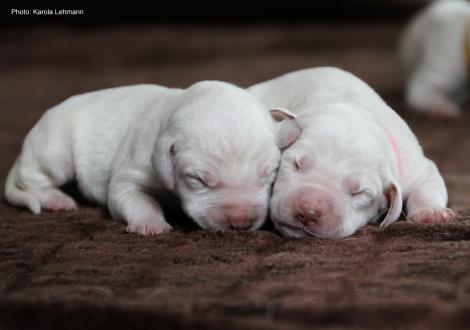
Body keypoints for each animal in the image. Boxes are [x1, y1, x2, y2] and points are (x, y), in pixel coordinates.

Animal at [4, 80, 298, 235]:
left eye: (271, 175)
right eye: (197, 180)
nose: (240, 223)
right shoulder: (133, 170)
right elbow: (130, 195)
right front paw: (150, 224)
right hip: (55, 150)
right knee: (34, 178)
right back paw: (55, 199)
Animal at [250, 67, 456, 237]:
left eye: (359, 193)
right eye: (296, 164)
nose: (309, 212)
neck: (355, 108)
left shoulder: (414, 166)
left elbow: (427, 182)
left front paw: (431, 212)